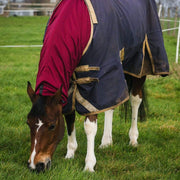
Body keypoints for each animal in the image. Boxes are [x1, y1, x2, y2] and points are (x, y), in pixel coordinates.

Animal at [26, 0, 169, 173]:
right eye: (28, 123)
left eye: (52, 125)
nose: (36, 165)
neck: (78, 21)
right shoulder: (70, 83)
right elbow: (69, 116)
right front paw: (70, 153)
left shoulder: (94, 82)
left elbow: (89, 126)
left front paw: (89, 165)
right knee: (111, 104)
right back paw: (106, 141)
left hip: (139, 65)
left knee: (135, 99)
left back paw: (133, 139)